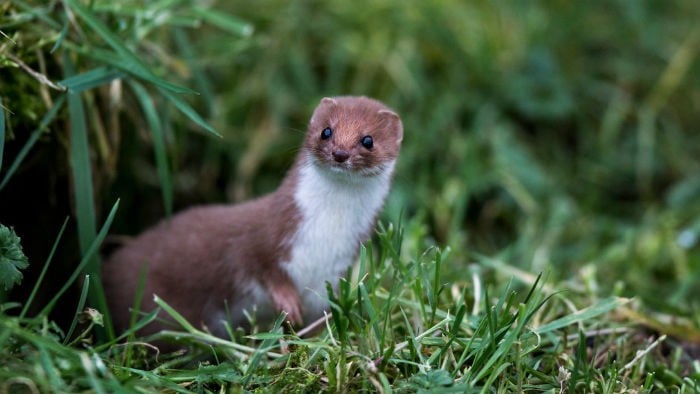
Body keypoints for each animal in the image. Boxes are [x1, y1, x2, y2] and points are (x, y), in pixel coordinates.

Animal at [101, 97, 402, 338]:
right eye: (326, 131)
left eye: (368, 140)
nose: (340, 153)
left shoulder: (335, 273)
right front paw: (287, 302)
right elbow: (254, 260)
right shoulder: (267, 232)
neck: (326, 232)